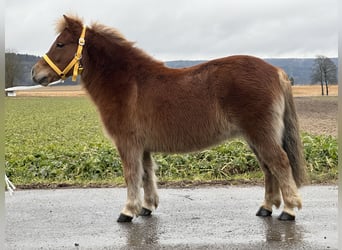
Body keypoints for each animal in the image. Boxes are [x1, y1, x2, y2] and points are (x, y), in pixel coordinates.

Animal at [32, 15, 306, 223]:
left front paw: (128, 211)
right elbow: (146, 174)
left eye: (60, 44)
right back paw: (266, 208)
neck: (127, 82)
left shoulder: (127, 143)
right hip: (255, 137)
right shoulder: (142, 146)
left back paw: (289, 210)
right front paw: (147, 207)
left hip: (261, 135)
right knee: (268, 168)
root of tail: (276, 71)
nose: (36, 73)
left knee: (280, 163)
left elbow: (131, 174)